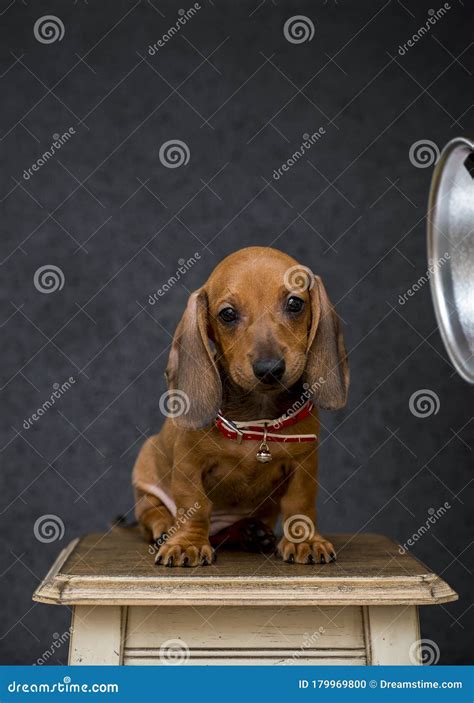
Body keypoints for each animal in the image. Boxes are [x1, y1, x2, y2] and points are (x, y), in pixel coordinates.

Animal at [132, 248, 348, 568]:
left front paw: (304, 540)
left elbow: (300, 502)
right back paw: (165, 529)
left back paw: (251, 533)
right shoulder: (188, 464)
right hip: (146, 469)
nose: (269, 369)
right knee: (152, 513)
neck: (259, 420)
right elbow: (194, 504)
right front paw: (187, 543)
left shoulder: (304, 462)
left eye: (295, 303)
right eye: (227, 314)